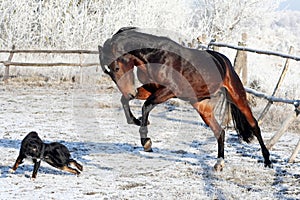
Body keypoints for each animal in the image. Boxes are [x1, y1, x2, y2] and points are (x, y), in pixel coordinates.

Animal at [98, 26, 272, 170]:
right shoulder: (150, 89)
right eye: (108, 72)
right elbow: (125, 101)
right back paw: (219, 163)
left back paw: (267, 161)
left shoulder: (169, 91)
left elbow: (146, 106)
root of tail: (223, 60)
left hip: (237, 96)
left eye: (117, 68)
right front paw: (136, 121)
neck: (156, 57)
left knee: (254, 125)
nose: (131, 93)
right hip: (202, 106)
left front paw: (146, 142)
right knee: (219, 131)